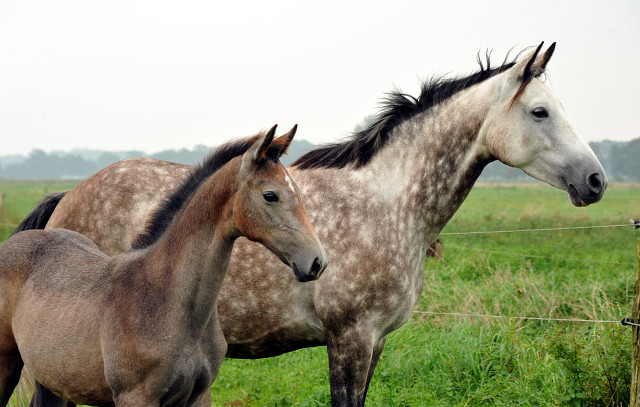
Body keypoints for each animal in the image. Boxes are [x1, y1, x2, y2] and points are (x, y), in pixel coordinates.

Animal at [0, 126, 328, 406]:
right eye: (270, 195)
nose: (317, 262)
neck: (166, 297)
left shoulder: (198, 396)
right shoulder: (136, 398)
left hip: (54, 382)